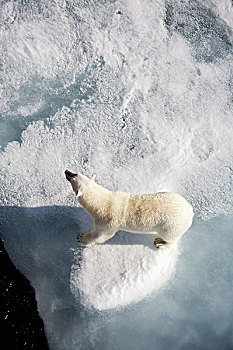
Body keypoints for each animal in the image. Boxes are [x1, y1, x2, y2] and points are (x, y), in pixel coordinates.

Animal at [64, 170, 194, 249]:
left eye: (73, 177)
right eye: (76, 173)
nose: (66, 171)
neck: (105, 201)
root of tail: (190, 211)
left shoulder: (107, 222)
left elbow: (100, 236)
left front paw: (82, 239)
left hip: (171, 226)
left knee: (170, 238)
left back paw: (160, 242)